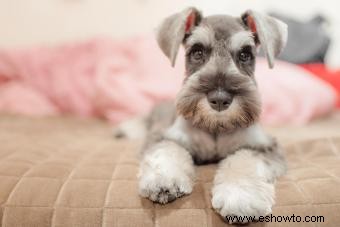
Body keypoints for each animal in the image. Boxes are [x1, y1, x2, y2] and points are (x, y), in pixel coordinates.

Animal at [118, 6, 288, 222]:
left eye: (245, 54)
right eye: (197, 52)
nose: (220, 98)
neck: (216, 126)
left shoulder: (263, 147)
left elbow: (245, 160)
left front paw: (241, 196)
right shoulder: (163, 136)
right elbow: (167, 149)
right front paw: (163, 179)